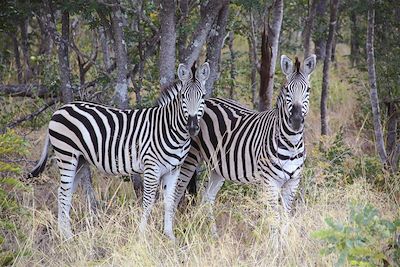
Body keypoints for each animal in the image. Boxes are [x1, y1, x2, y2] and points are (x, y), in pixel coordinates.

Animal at [28, 62, 211, 241]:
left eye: (202, 97)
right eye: (183, 97)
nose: (193, 127)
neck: (170, 129)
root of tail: (60, 109)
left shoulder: (174, 170)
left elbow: (170, 202)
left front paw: (170, 236)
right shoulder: (151, 167)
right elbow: (148, 202)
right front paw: (142, 236)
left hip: (80, 160)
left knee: (65, 193)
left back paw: (65, 235)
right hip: (67, 155)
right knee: (63, 193)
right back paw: (67, 237)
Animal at [172, 55, 316, 234]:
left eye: (308, 90)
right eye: (287, 90)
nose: (296, 121)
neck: (292, 143)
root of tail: (209, 100)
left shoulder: (293, 182)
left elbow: (285, 218)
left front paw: (285, 241)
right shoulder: (270, 181)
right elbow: (274, 219)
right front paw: (275, 242)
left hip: (218, 168)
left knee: (207, 198)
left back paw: (214, 235)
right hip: (189, 159)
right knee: (175, 195)